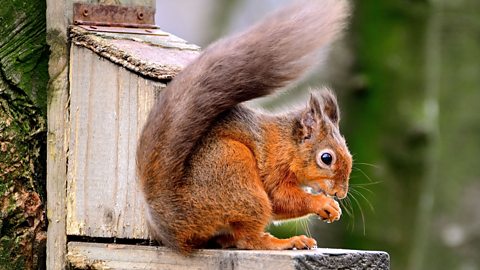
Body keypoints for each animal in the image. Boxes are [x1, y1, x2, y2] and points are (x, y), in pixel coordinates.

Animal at [137, 0, 350, 253]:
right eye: (326, 158)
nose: (340, 193)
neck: (288, 144)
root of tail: (174, 215)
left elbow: (280, 207)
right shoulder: (274, 166)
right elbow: (280, 198)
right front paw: (323, 203)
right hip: (238, 176)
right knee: (249, 239)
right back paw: (287, 242)